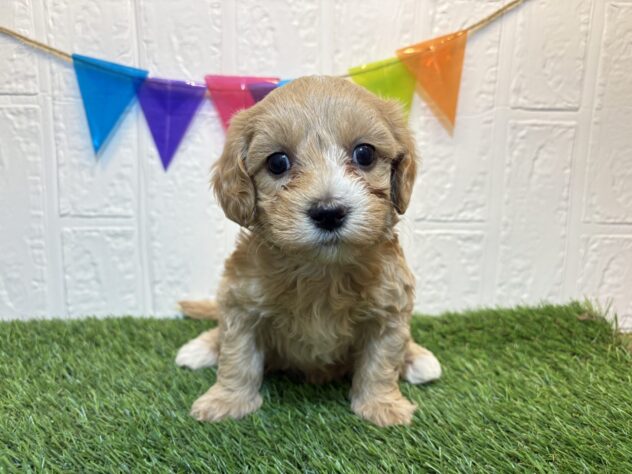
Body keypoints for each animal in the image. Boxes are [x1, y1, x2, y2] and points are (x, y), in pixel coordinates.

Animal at [176, 76, 441, 426]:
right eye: (278, 162)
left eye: (365, 154)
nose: (329, 212)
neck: (320, 271)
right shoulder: (241, 303)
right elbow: (237, 356)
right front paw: (227, 400)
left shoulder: (390, 308)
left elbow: (382, 362)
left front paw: (381, 405)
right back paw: (199, 348)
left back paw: (419, 358)